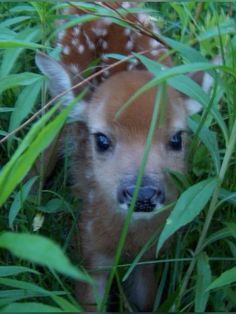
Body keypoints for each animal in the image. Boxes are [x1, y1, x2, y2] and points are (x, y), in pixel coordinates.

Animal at [36, 1, 202, 312]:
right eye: (101, 139)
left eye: (177, 138)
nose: (144, 193)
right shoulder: (90, 247)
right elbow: (91, 302)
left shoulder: (150, 250)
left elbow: (146, 299)